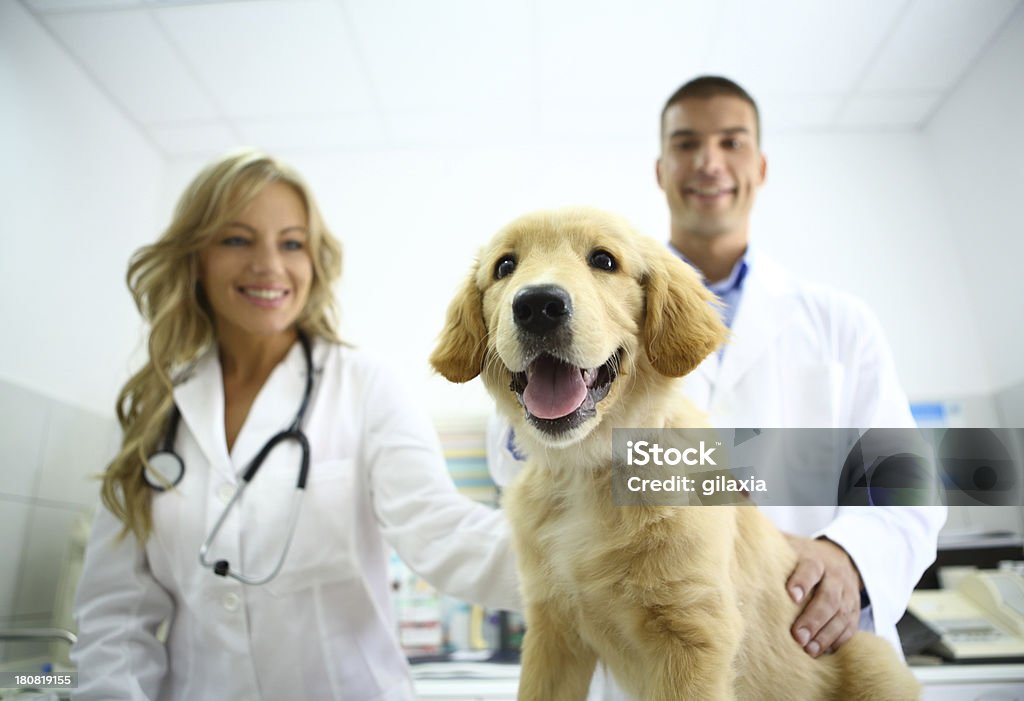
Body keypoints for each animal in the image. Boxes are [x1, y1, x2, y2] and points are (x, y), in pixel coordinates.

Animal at [430, 204, 921, 695]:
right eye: (505, 267)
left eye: (604, 260)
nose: (537, 306)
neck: (588, 470)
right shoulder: (552, 632)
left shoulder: (695, 635)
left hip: (875, 663)